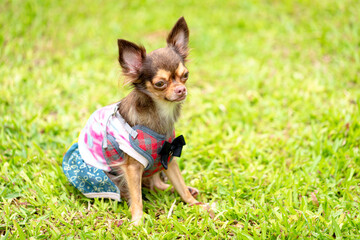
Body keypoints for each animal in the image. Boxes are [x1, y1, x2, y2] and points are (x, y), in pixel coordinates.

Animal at [62, 15, 205, 226]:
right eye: (160, 83)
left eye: (185, 75)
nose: (181, 89)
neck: (160, 112)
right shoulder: (132, 168)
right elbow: (136, 197)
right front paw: (137, 221)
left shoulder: (169, 156)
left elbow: (180, 184)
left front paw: (195, 204)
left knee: (156, 185)